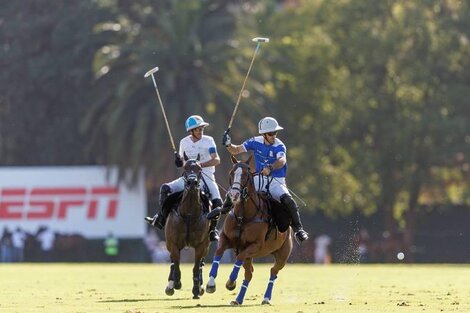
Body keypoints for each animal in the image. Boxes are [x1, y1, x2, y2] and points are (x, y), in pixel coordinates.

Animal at [164, 152, 210, 298]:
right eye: (185, 168)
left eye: (200, 169)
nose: (192, 182)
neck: (189, 214)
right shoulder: (173, 243)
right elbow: (176, 265)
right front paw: (176, 283)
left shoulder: (201, 245)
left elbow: (196, 267)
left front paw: (196, 289)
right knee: (173, 263)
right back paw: (170, 285)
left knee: (201, 264)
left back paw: (201, 286)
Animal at [207, 155, 292, 304]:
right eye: (231, 173)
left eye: (246, 175)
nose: (234, 194)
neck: (243, 216)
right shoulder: (226, 238)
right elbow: (218, 252)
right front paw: (211, 284)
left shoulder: (255, 245)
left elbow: (239, 257)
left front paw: (230, 282)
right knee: (249, 274)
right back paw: (238, 300)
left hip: (283, 254)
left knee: (273, 271)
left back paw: (266, 298)